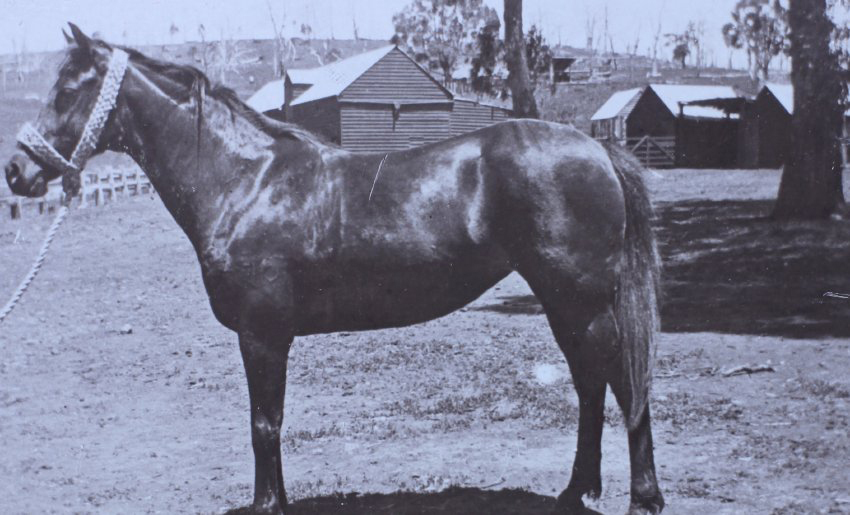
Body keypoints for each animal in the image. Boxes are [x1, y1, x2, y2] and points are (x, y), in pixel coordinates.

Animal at [4, 25, 664, 515]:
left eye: (68, 88)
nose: (16, 172)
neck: (246, 182)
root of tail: (597, 147)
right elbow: (268, 423)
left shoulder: (262, 336)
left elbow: (264, 423)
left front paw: (268, 504)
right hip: (564, 302)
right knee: (590, 384)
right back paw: (577, 491)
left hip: (580, 298)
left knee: (621, 383)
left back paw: (642, 498)